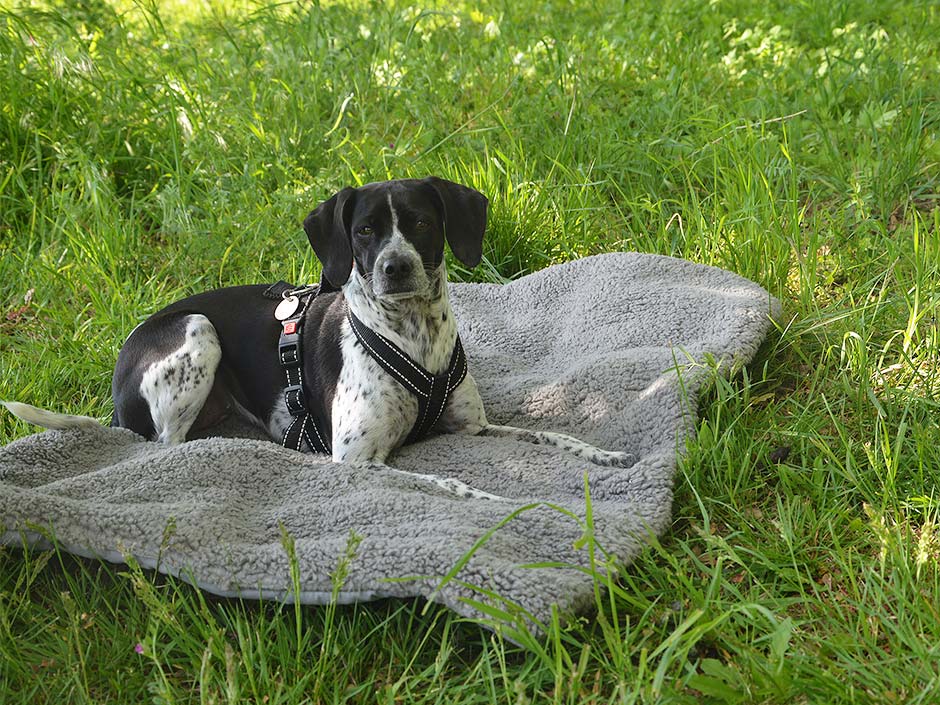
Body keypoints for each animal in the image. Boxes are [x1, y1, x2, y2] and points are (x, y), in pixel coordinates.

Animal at [5, 176, 632, 496]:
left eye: (422, 223)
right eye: (365, 231)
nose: (395, 268)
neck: (413, 337)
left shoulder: (473, 427)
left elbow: (548, 435)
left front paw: (600, 454)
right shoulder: (357, 459)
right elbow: (453, 485)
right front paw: (497, 499)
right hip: (197, 333)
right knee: (166, 445)